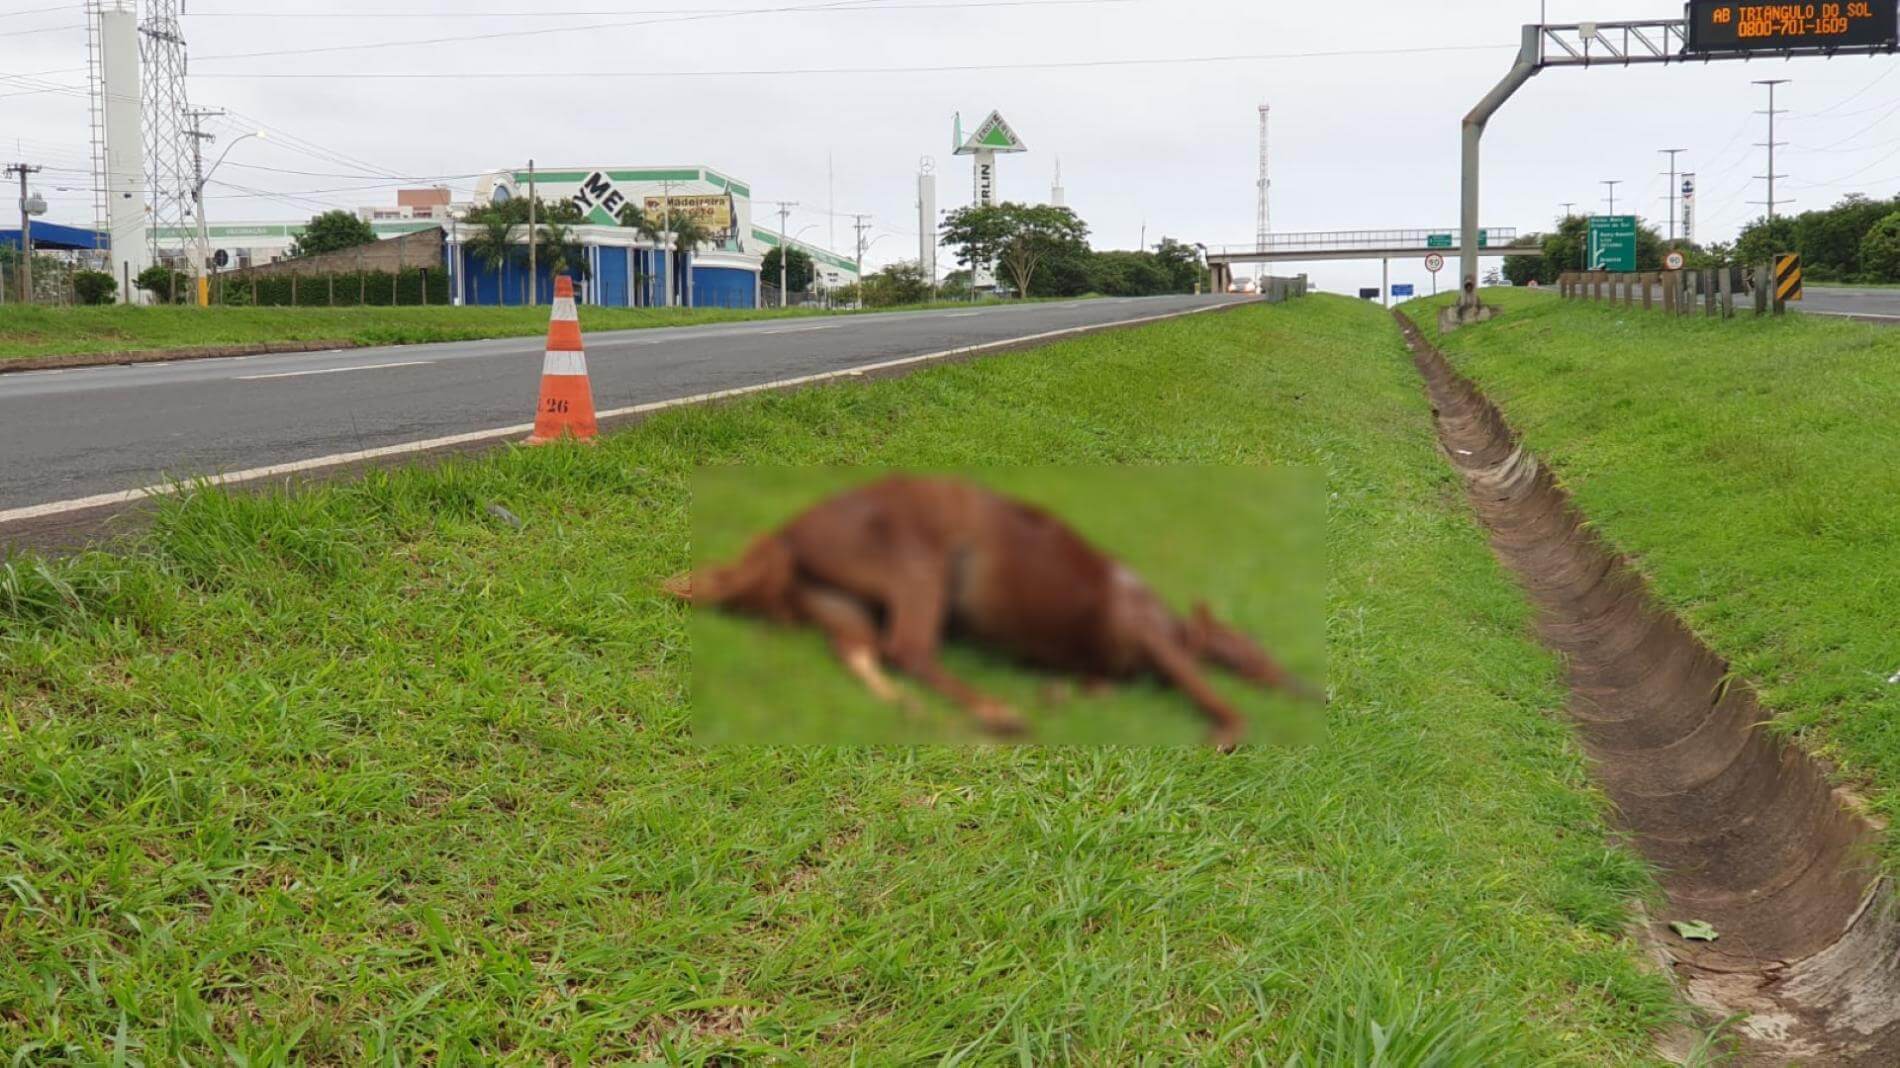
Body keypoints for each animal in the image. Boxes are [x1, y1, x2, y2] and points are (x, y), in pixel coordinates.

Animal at [668, 473, 1322, 748]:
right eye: (1252, 651)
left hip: (843, 604)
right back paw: (996, 714)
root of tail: (787, 535)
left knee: (864, 656)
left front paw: (1060, 697)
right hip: (919, 569)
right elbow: (1220, 701)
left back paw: (926, 713)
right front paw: (1223, 734)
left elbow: (1095, 687)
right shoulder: (1152, 637)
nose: (1313, 692)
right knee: (908, 649)